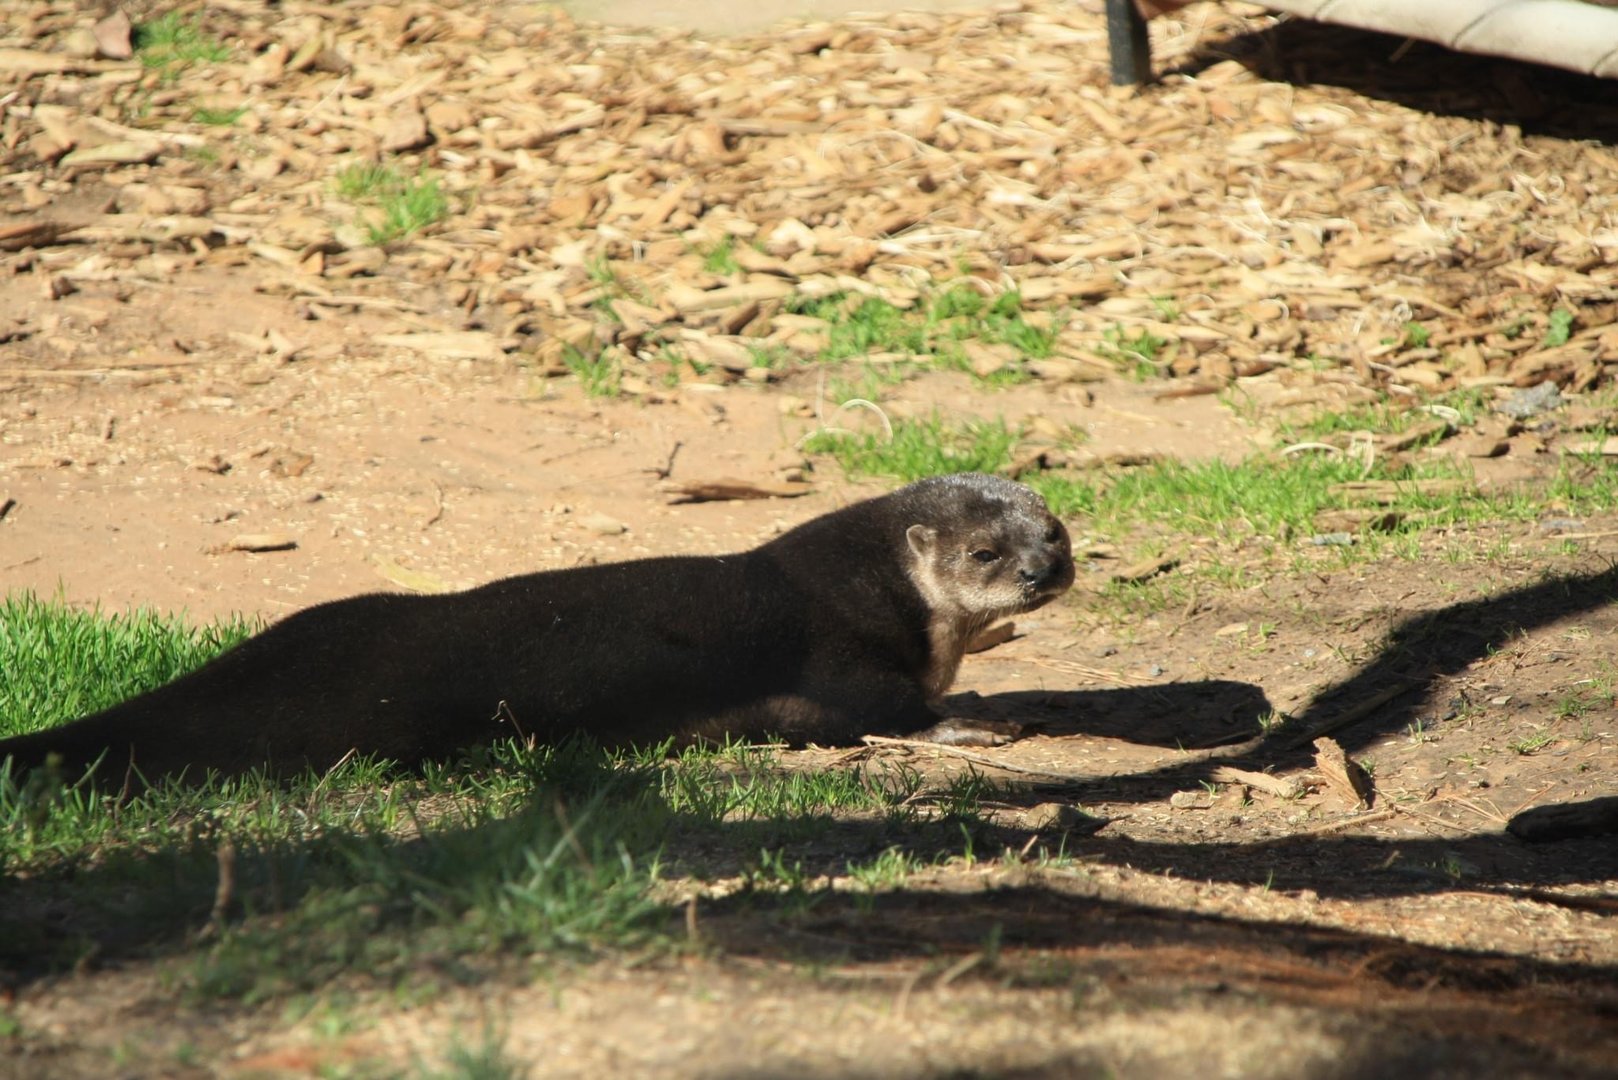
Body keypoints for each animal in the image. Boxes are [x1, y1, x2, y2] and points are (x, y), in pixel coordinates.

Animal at [0, 473, 1074, 787]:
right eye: (984, 552)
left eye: (1055, 532)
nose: (1040, 571)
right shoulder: (844, 653)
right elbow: (887, 708)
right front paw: (981, 722)